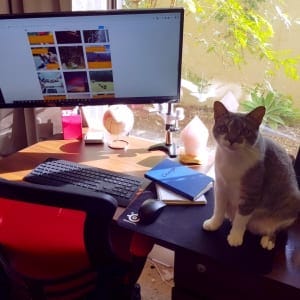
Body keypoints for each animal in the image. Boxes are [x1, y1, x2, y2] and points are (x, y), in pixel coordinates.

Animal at [202, 99, 300, 250]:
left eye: (245, 131)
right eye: (224, 127)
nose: (232, 139)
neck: (232, 160)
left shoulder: (251, 194)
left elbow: (241, 218)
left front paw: (235, 237)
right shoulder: (220, 187)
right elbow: (218, 209)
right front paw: (214, 224)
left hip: (292, 203)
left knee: (277, 229)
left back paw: (268, 239)